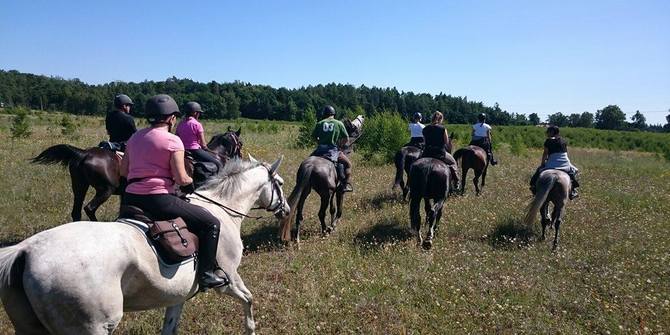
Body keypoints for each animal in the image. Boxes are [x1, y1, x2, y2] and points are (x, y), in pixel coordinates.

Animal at [0, 158, 286, 335]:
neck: (222, 209)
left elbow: (170, 327)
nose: (286, 209)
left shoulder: (179, 295)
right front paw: (251, 329)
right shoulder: (228, 281)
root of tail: (25, 251)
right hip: (92, 327)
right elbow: (249, 301)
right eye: (280, 184)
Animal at [31, 130, 243, 222]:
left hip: (79, 186)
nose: (240, 155)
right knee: (89, 208)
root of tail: (83, 153)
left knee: (76, 211)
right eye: (239, 142)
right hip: (104, 190)